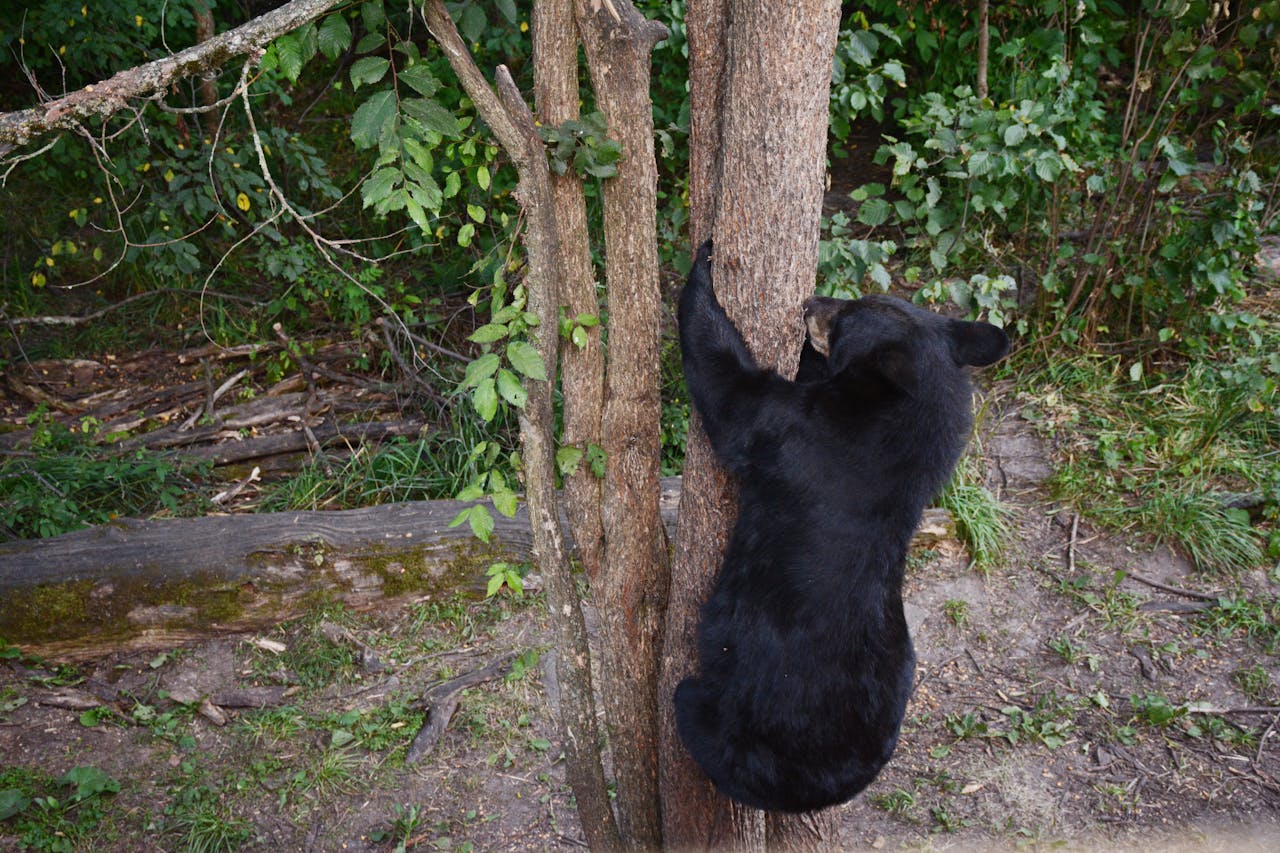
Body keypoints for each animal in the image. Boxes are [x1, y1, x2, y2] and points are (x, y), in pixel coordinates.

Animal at [673, 239, 1009, 813]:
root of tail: (828, 788)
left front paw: (703, 266)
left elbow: (735, 396)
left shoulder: (803, 433)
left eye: (847, 314)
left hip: (743, 728)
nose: (811, 302)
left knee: (697, 714)